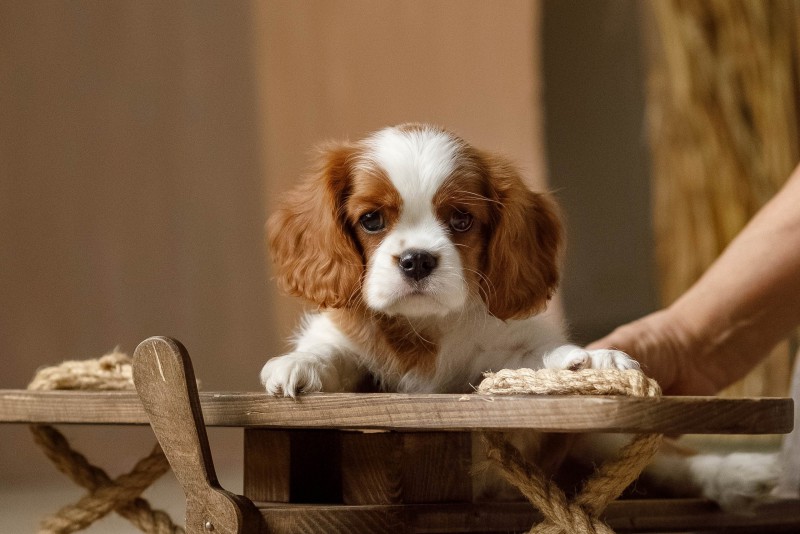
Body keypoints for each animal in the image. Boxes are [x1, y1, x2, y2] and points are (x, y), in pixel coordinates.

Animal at [261, 123, 778, 511]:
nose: (417, 260)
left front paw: (592, 363)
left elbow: (539, 356)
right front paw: (299, 364)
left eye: (461, 219)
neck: (431, 324)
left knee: (673, 460)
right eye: (371, 220)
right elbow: (332, 349)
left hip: (599, 441)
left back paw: (740, 474)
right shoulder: (345, 333)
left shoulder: (506, 350)